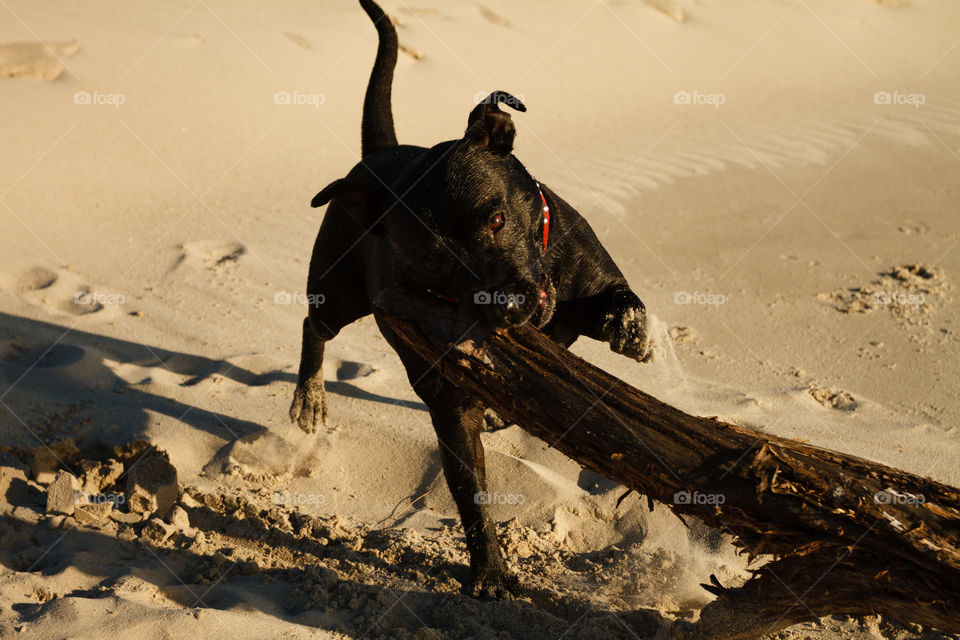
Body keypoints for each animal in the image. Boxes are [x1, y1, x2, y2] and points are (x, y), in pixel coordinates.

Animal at [290, 1, 652, 600]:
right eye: (435, 263)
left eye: (498, 218)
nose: (508, 309)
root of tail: (377, 158)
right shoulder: (451, 405)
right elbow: (470, 491)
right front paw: (490, 574)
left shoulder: (587, 277)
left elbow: (618, 301)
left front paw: (634, 333)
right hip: (338, 292)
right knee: (313, 326)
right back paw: (310, 396)